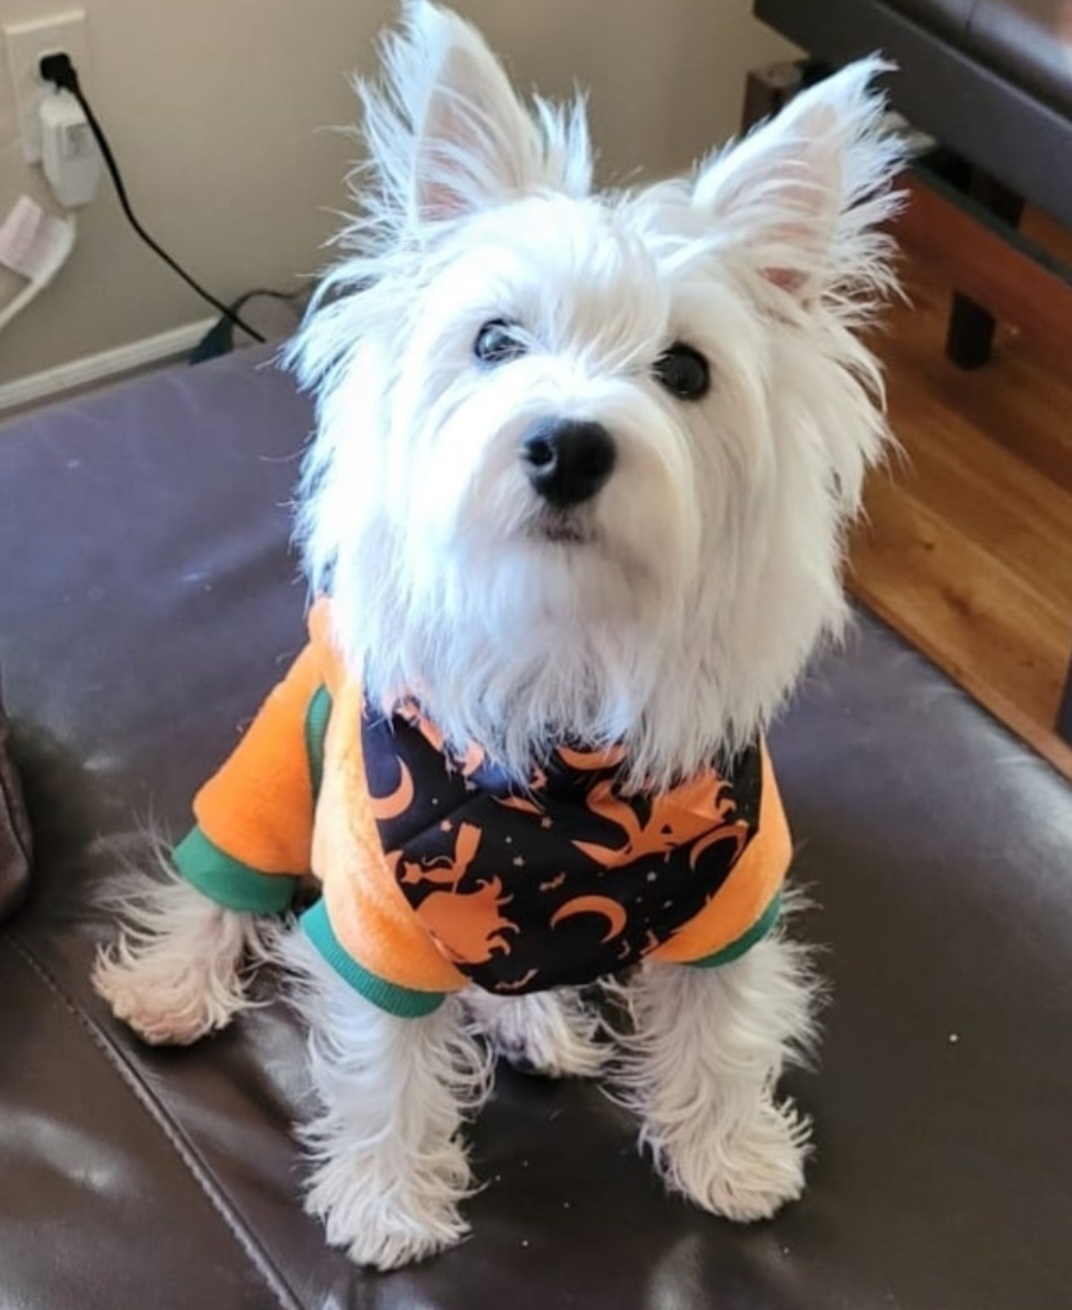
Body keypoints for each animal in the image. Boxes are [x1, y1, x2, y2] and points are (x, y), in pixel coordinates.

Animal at [93, 1, 902, 1271]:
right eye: (493, 341)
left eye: (685, 369)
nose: (566, 443)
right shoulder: (373, 911)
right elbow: (383, 1062)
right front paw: (385, 1203)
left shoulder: (734, 893)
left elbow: (722, 1026)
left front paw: (732, 1157)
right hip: (268, 775)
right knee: (211, 883)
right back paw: (170, 987)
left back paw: (537, 1023)